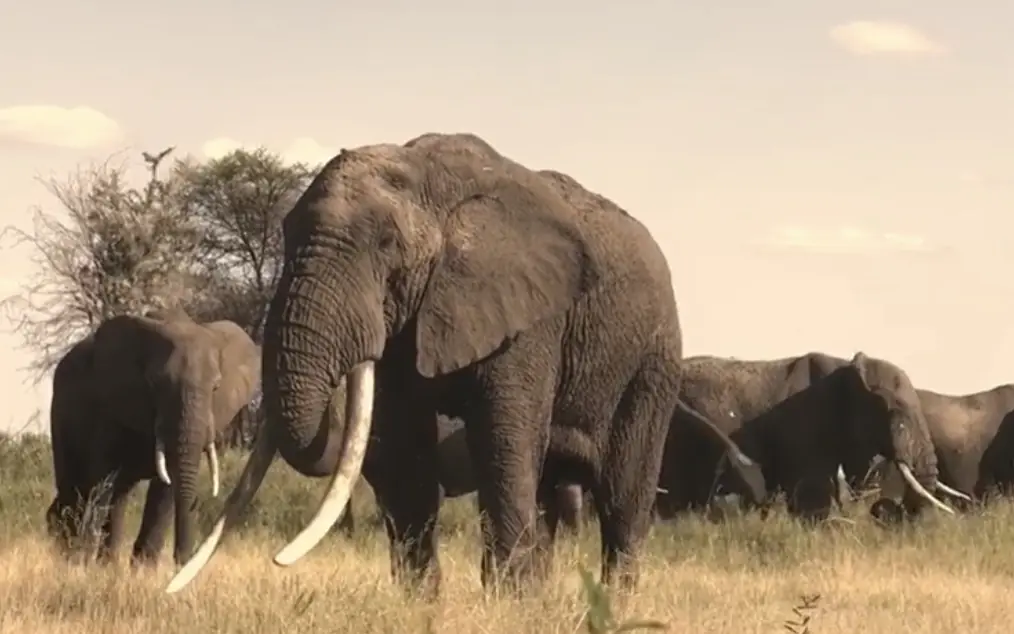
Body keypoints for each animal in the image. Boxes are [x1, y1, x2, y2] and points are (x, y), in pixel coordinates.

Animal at [45, 309, 261, 565]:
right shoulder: (109, 408)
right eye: (155, 383)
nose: (181, 560)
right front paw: (82, 567)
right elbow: (102, 480)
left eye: (216, 387)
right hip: (60, 416)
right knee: (74, 488)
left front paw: (142, 571)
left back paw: (107, 565)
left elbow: (164, 491)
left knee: (117, 497)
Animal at [165, 131, 764, 596]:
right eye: (286, 234)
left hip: (653, 361)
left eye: (387, 244)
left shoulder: (530, 318)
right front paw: (421, 603)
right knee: (551, 490)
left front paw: (507, 604)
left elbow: (502, 439)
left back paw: (615, 600)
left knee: (621, 494)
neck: (429, 186)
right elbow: (405, 448)